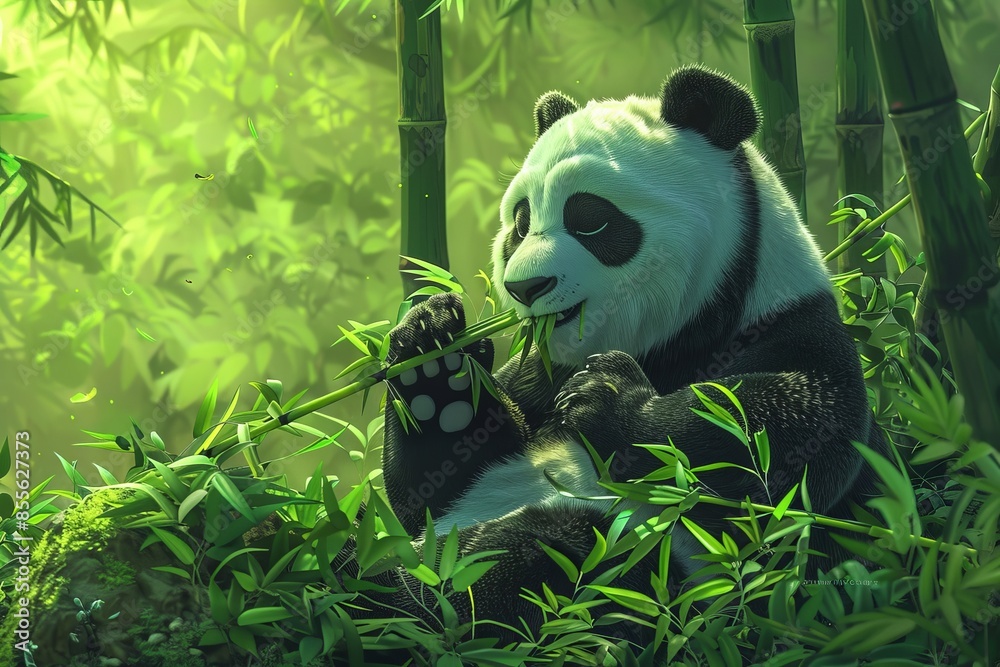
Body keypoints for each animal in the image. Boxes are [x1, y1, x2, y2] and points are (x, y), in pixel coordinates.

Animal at [350, 64, 887, 658]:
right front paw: (433, 362)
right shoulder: (534, 376)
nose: (525, 287)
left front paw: (604, 398)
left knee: (544, 557)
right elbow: (425, 493)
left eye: (590, 219)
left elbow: (781, 447)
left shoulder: (793, 327)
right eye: (520, 222)